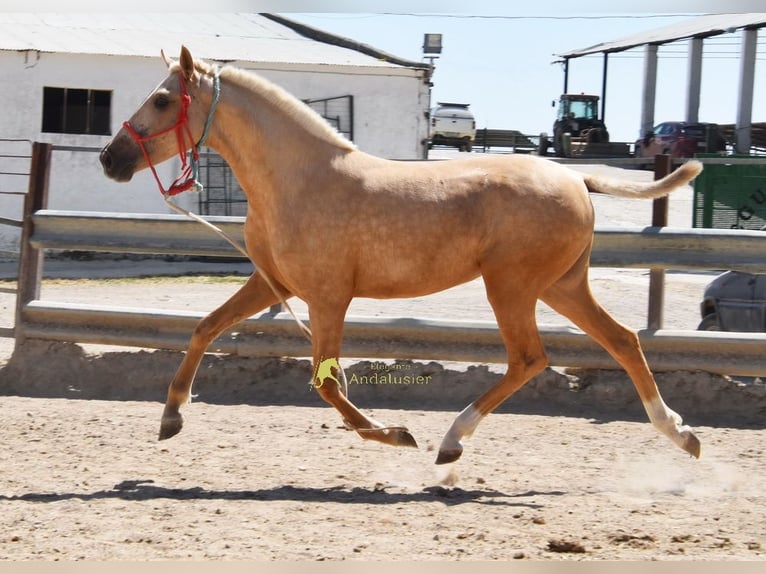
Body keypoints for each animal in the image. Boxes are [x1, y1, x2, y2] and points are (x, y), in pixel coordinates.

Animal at [100, 46, 702, 466]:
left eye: (161, 99)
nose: (111, 158)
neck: (297, 181)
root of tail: (576, 178)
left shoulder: (327, 297)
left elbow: (326, 383)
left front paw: (394, 435)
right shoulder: (274, 284)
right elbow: (204, 328)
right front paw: (171, 417)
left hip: (512, 288)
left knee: (530, 358)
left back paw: (450, 443)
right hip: (560, 285)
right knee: (622, 341)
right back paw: (682, 434)